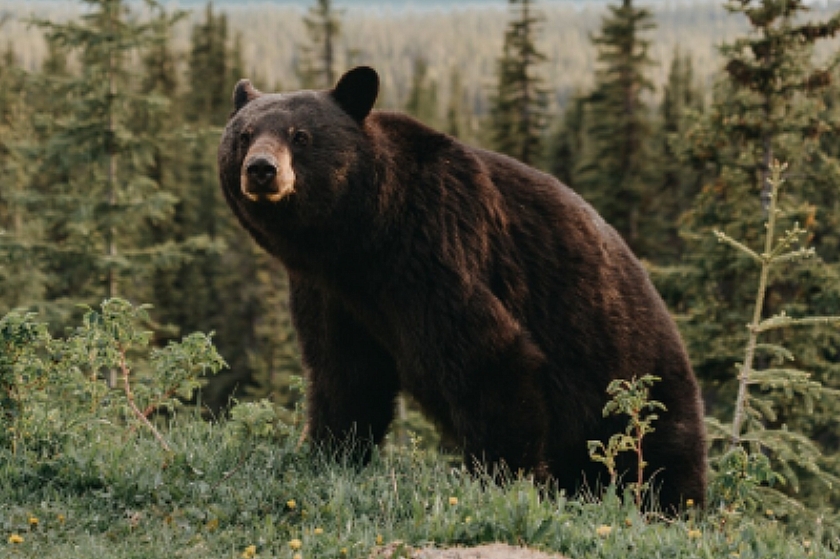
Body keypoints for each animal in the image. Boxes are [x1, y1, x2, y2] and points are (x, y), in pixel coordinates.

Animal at [218, 66, 707, 511]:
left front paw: (502, 479)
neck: (362, 241)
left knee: (661, 461)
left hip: (635, 388)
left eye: (300, 136)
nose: (261, 169)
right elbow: (344, 374)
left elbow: (489, 358)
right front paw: (329, 453)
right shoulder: (330, 293)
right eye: (244, 135)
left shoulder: (435, 251)